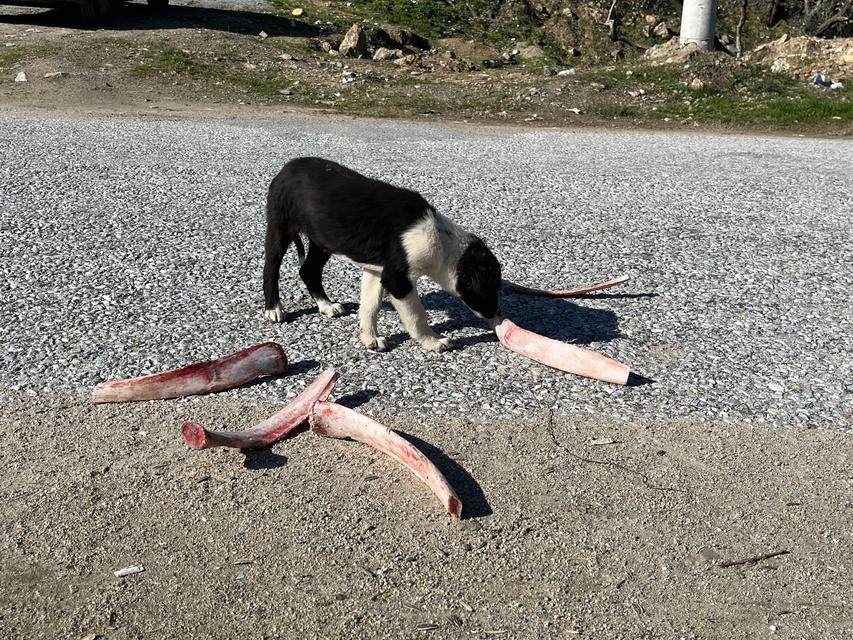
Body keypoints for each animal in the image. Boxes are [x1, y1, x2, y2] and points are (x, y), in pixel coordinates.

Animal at [260, 158, 500, 352]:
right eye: (487, 289)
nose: (497, 314)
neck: (441, 239)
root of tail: (288, 167)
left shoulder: (377, 271)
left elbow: (369, 306)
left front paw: (370, 339)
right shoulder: (398, 281)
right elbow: (417, 316)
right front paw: (433, 341)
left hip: (322, 240)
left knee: (309, 270)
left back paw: (326, 305)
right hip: (280, 226)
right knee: (271, 268)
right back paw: (273, 308)